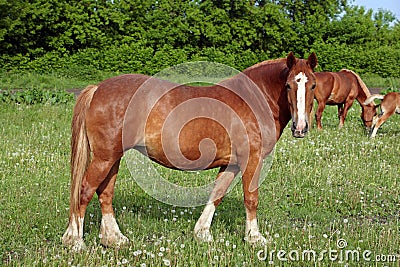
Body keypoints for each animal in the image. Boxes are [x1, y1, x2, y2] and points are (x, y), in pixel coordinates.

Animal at [61, 51, 318, 251]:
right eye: (288, 85)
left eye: (313, 85)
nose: (301, 128)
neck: (253, 100)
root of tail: (98, 88)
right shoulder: (252, 160)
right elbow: (251, 198)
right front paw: (255, 238)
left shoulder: (232, 164)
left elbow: (217, 194)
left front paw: (202, 233)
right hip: (104, 158)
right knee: (84, 191)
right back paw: (76, 241)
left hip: (113, 158)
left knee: (105, 193)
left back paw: (114, 239)